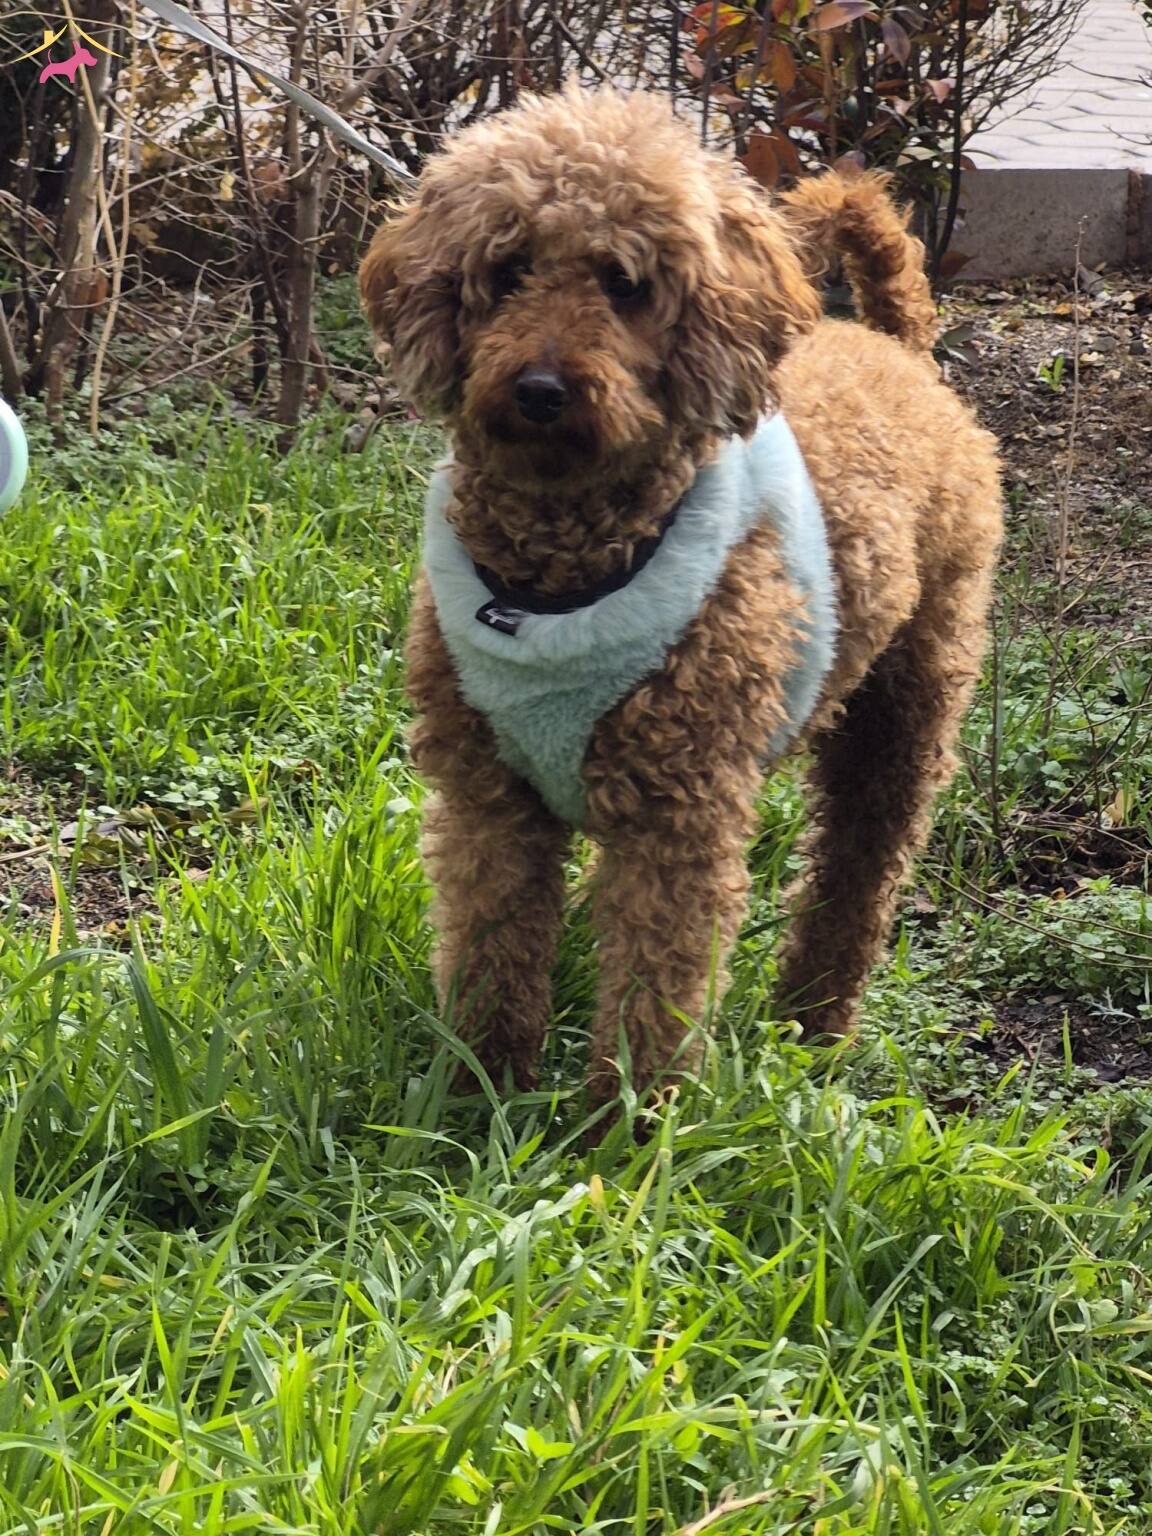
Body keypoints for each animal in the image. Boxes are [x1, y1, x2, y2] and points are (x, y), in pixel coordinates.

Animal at [359, 84, 1002, 1102]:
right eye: (506, 270)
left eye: (626, 284)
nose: (541, 388)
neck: (556, 581)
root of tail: (891, 345)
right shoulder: (490, 796)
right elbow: (493, 950)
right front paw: (478, 1092)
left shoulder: (679, 819)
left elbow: (654, 995)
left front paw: (626, 1121)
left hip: (908, 704)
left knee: (857, 873)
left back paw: (814, 1024)